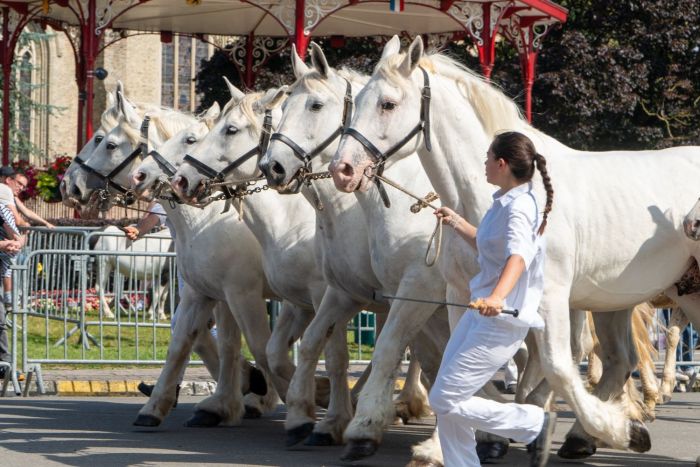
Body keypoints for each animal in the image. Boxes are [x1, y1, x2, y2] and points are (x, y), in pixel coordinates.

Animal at [258, 44, 454, 464]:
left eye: (315, 105)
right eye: (283, 107)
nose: (273, 167)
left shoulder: (416, 291)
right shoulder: (346, 293)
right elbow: (316, 345)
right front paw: (311, 419)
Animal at [330, 35, 700, 458]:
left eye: (388, 104)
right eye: (356, 102)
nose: (343, 170)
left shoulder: (549, 296)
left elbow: (558, 365)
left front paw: (624, 432)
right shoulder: (462, 294)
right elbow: (458, 364)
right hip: (626, 299)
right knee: (619, 361)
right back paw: (577, 436)